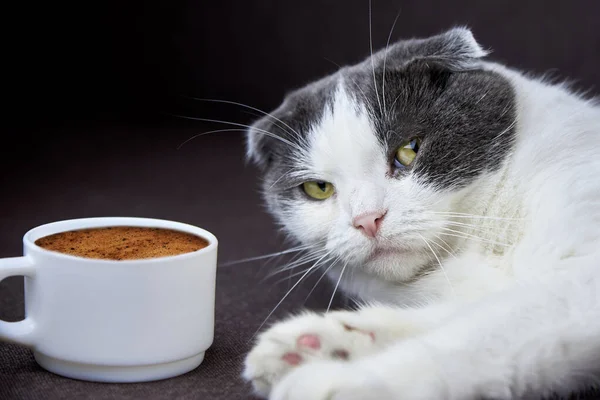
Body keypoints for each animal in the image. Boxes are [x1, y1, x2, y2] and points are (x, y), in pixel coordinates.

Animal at [240, 28, 600, 400]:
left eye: (408, 150)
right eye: (318, 188)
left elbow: (486, 332)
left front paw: (343, 379)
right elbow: (473, 313)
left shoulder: (583, 279)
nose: (367, 219)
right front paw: (317, 345)